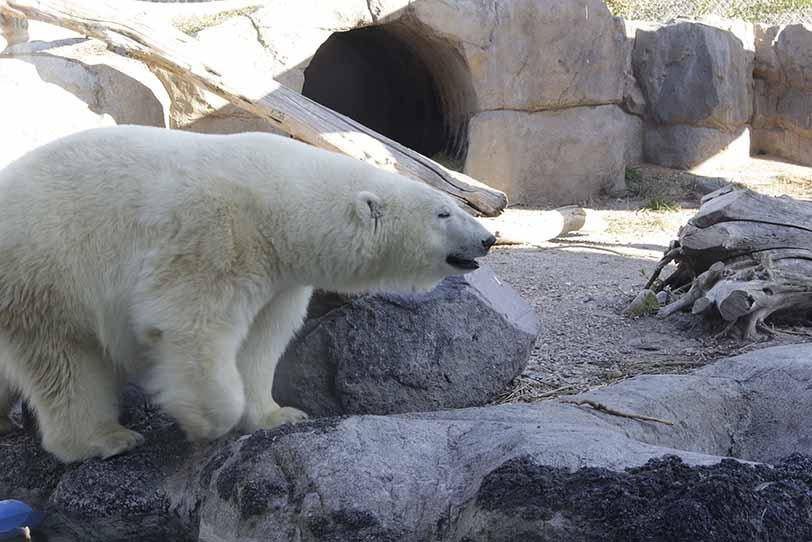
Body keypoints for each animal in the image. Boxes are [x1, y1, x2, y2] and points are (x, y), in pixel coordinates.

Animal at [0, 125, 496, 462]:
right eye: (443, 212)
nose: (488, 239)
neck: (281, 201)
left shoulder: (281, 275)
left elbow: (261, 341)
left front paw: (279, 415)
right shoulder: (216, 235)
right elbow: (191, 326)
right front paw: (205, 423)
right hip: (48, 266)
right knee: (65, 360)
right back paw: (104, 439)